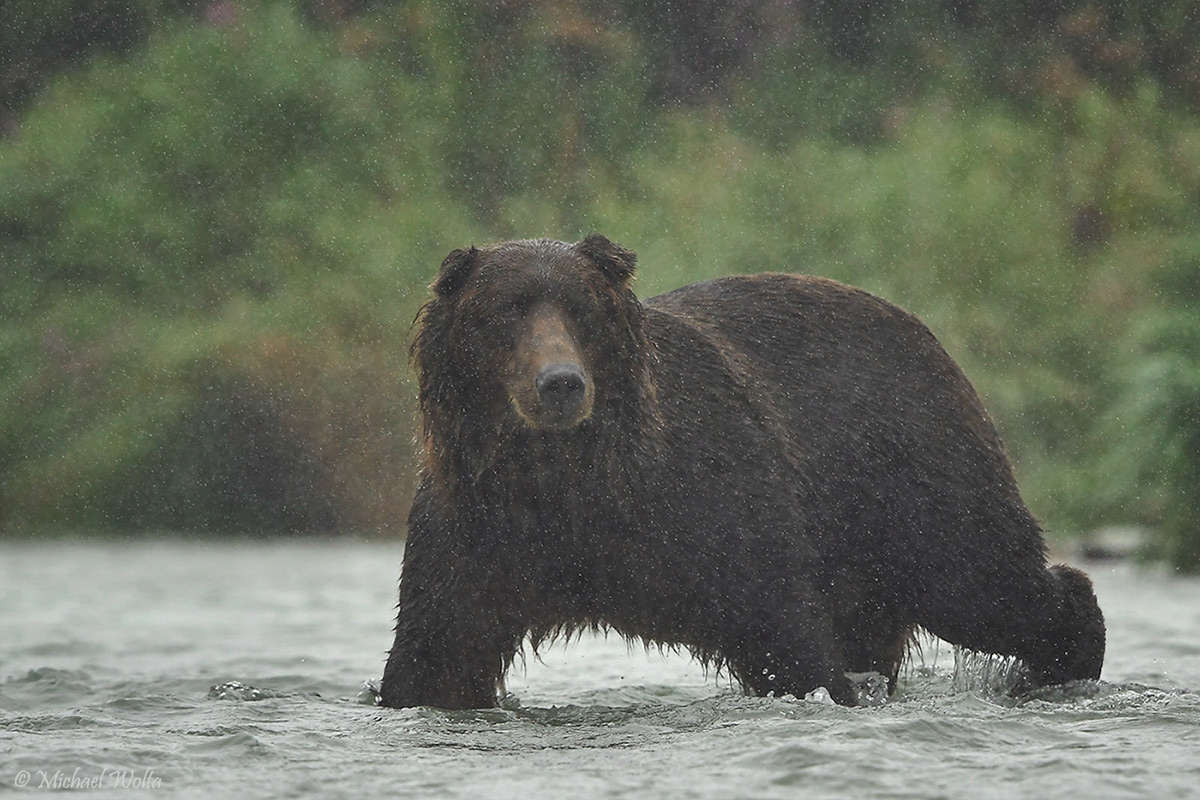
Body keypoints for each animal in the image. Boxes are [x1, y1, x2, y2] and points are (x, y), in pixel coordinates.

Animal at [379, 235, 1099, 710]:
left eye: (581, 310)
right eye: (506, 310)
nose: (561, 383)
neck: (569, 482)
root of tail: (924, 331)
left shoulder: (711, 495)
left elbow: (783, 632)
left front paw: (830, 689)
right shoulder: (480, 529)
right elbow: (439, 647)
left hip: (912, 470)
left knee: (980, 578)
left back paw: (1062, 663)